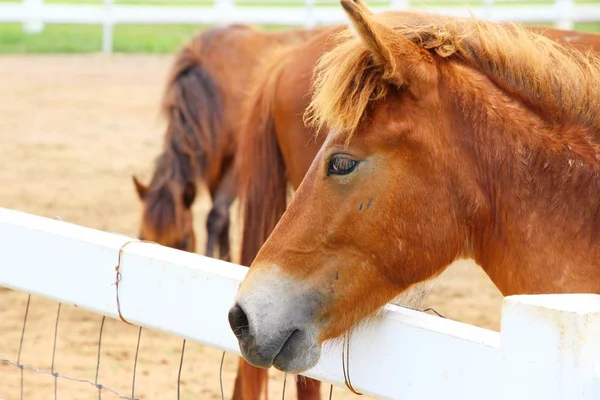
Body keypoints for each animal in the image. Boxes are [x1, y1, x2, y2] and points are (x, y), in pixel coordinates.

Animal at [132, 24, 324, 400]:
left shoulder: (236, 162)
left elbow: (215, 216)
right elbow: (218, 222)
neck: (214, 80)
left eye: (183, 242)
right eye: (142, 237)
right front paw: (223, 257)